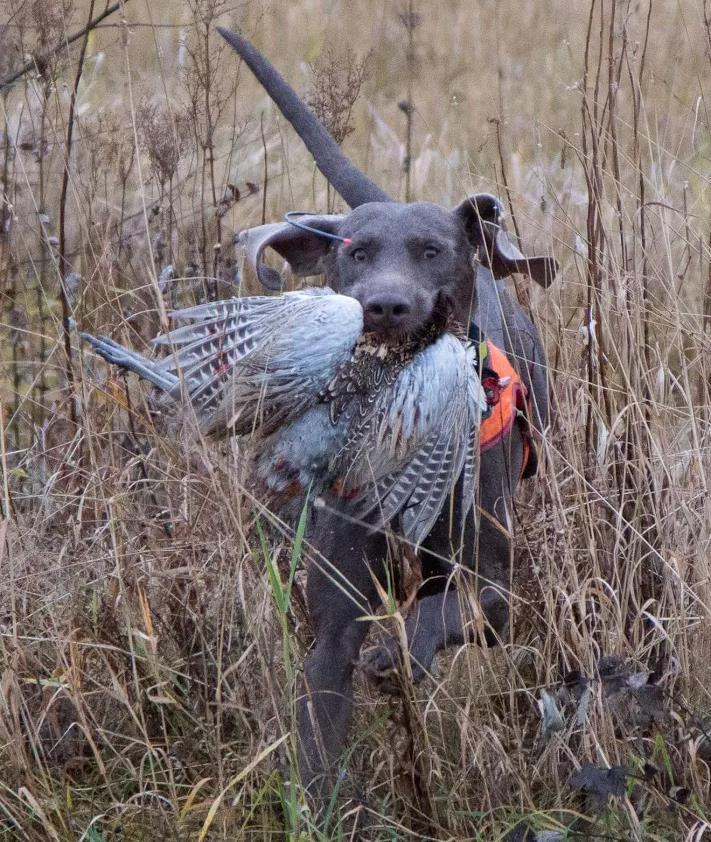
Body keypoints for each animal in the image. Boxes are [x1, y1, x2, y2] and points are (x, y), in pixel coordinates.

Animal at [220, 27, 560, 796]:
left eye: (432, 251)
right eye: (356, 254)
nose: (385, 304)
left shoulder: (496, 595)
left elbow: (445, 613)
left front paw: (398, 657)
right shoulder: (333, 625)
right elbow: (320, 733)